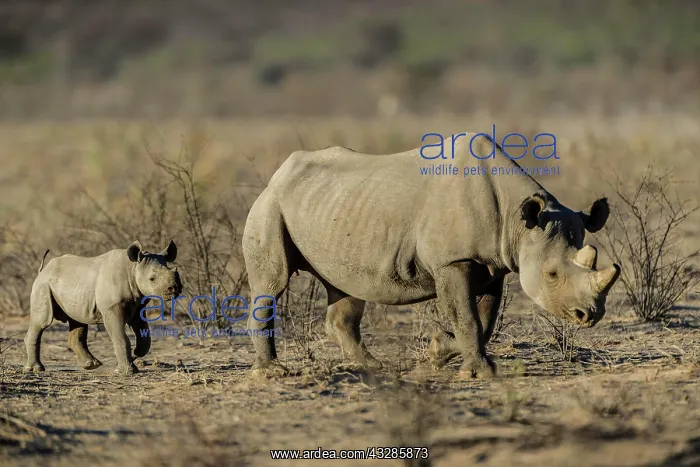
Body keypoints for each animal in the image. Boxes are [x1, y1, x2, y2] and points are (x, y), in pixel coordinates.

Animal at [23, 240, 182, 376]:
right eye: (152, 279)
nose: (174, 289)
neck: (133, 268)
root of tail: (43, 270)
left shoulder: (138, 306)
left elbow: (145, 338)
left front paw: (136, 355)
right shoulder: (111, 308)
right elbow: (120, 337)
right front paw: (127, 371)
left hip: (72, 287)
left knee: (78, 320)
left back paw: (91, 365)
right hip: (42, 284)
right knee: (42, 321)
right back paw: (35, 369)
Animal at [242, 134, 621, 378]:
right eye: (552, 275)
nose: (589, 315)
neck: (518, 221)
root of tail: (279, 173)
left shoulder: (493, 265)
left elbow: (484, 321)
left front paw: (440, 353)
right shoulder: (453, 261)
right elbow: (468, 318)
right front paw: (480, 373)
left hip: (332, 208)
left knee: (346, 287)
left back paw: (374, 367)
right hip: (271, 204)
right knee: (271, 284)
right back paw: (272, 373)